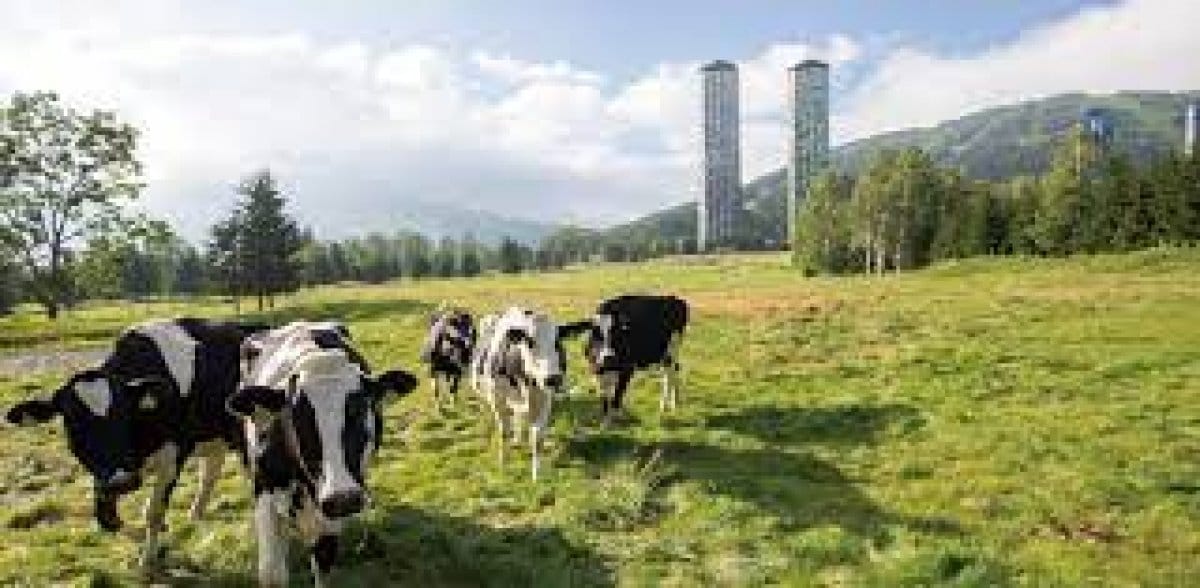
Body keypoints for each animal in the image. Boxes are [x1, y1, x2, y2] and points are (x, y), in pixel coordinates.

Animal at [3, 318, 268, 569]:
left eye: (124, 414)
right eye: (73, 422)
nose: (122, 481)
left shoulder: (174, 456)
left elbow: (153, 511)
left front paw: (148, 558)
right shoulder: (105, 477)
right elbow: (107, 519)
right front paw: (145, 536)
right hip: (215, 435)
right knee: (211, 471)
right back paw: (196, 513)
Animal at [226, 321, 418, 588]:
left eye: (361, 409)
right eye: (297, 415)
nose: (344, 497)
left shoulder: (330, 516)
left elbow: (323, 560)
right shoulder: (265, 494)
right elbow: (273, 573)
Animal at [470, 307, 590, 480]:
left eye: (558, 341)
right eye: (530, 342)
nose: (553, 379)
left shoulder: (545, 398)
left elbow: (537, 436)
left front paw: (536, 473)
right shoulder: (497, 397)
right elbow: (503, 430)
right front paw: (503, 463)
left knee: (519, 416)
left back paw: (518, 438)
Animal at [575, 295, 689, 423]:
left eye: (617, 335)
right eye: (596, 334)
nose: (609, 357)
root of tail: (674, 298)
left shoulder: (627, 369)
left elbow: (617, 395)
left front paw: (613, 419)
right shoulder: (597, 371)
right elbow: (605, 397)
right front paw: (605, 420)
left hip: (673, 348)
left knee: (671, 374)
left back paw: (669, 404)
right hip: (664, 355)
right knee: (670, 372)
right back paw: (668, 405)